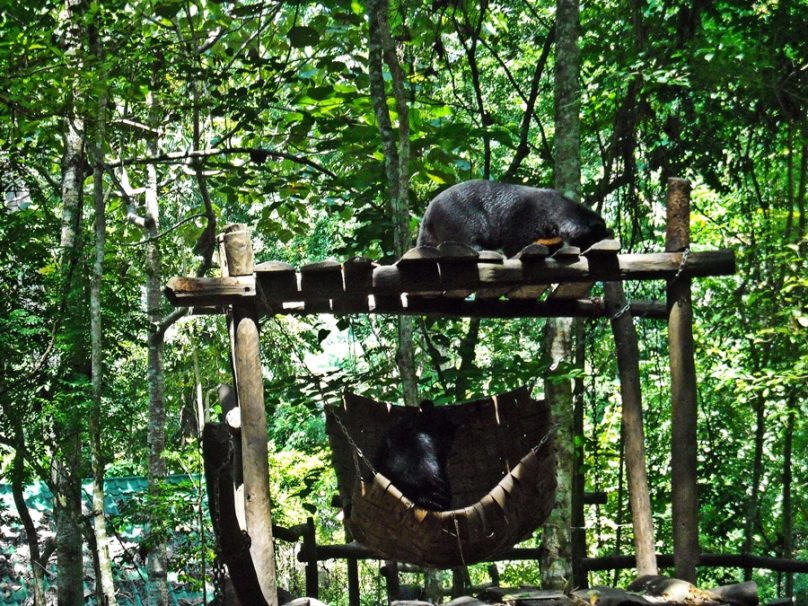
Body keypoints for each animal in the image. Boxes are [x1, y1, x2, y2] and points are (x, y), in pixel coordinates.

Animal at [416, 179, 608, 258]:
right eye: (592, 237)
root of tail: (428, 214)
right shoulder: (525, 216)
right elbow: (515, 242)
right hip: (459, 215)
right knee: (468, 237)